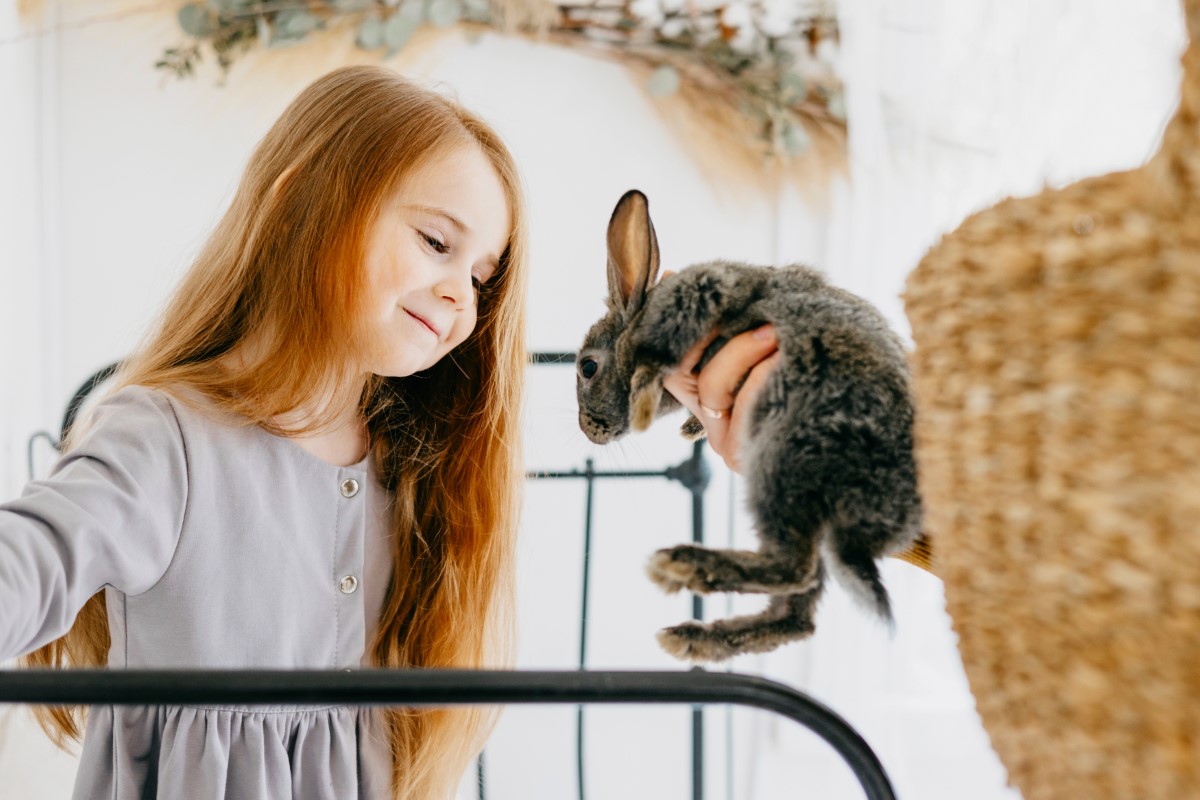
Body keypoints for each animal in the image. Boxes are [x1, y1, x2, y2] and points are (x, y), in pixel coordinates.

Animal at [576, 191, 921, 662]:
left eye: (588, 367)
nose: (586, 429)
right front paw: (691, 427)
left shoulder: (704, 288)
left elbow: (653, 352)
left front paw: (644, 397)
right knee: (797, 616)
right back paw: (693, 636)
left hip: (785, 463)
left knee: (794, 568)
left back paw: (683, 566)